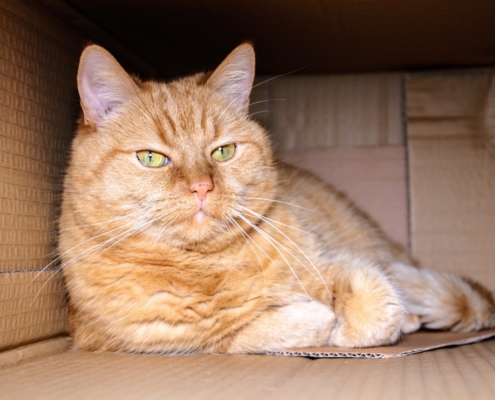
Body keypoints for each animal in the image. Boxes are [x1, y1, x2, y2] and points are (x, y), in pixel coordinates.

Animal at [59, 42, 495, 354]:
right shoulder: (164, 340)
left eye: (223, 152)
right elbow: (254, 333)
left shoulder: (334, 261)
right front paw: (322, 320)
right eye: (151, 158)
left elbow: (377, 305)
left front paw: (350, 325)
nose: (201, 186)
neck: (209, 265)